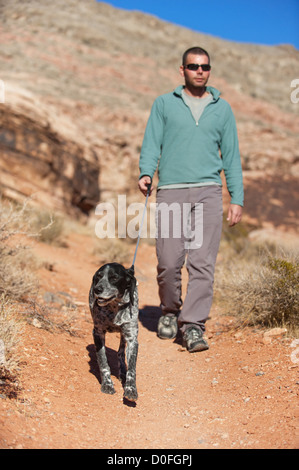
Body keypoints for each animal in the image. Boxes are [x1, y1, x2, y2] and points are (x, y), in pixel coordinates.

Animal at [89, 260, 139, 400]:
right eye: (99, 276)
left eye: (114, 278)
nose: (97, 289)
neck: (114, 307)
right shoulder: (98, 332)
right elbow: (103, 361)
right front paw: (107, 384)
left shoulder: (132, 338)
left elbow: (132, 368)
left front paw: (130, 388)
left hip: (124, 334)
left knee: (120, 353)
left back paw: (122, 371)